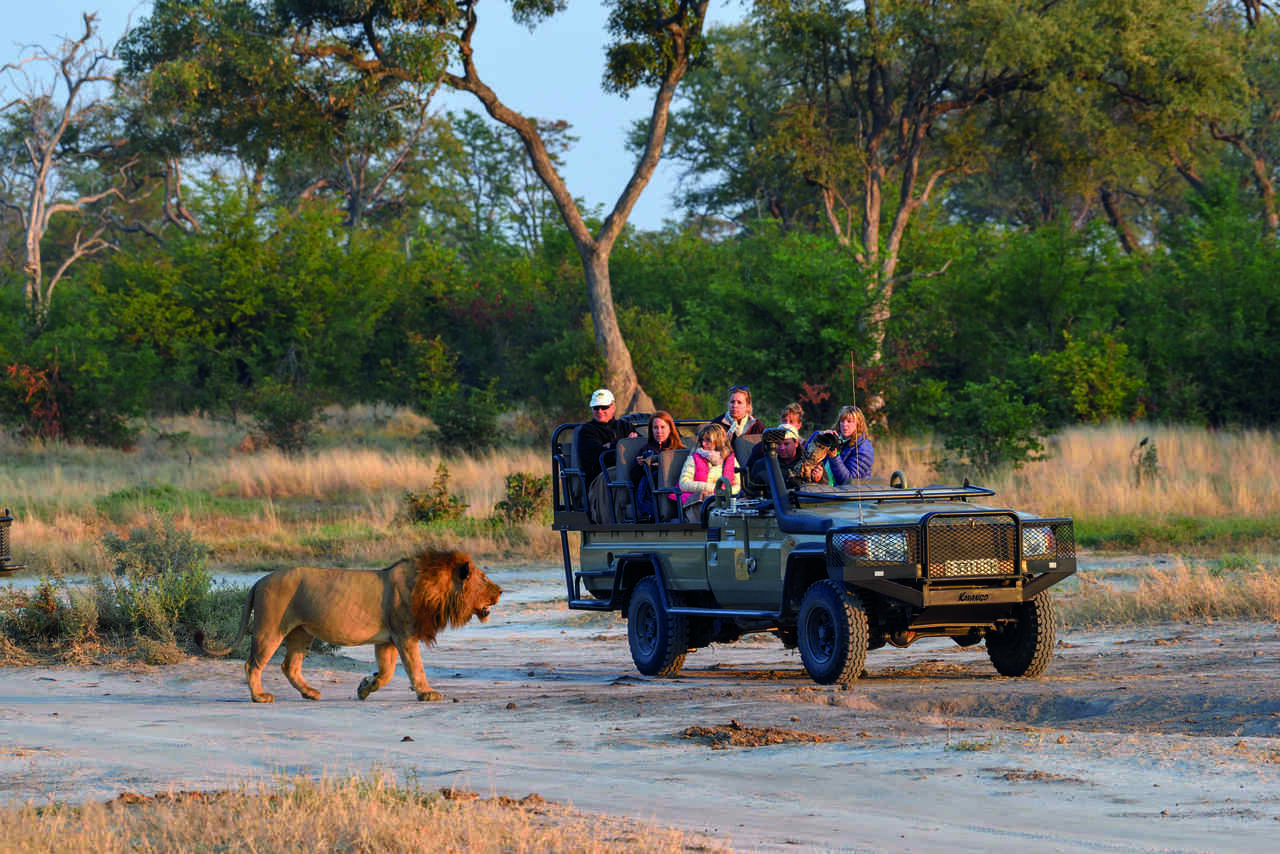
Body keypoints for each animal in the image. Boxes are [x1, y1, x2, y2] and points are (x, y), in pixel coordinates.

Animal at [198, 550, 499, 706]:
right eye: (484, 579)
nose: (501, 591)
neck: (435, 587)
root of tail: (258, 581)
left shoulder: (386, 641)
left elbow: (387, 673)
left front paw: (365, 687)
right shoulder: (404, 635)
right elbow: (416, 668)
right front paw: (427, 693)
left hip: (301, 633)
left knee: (289, 666)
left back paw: (310, 693)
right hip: (270, 629)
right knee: (252, 664)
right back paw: (260, 697)